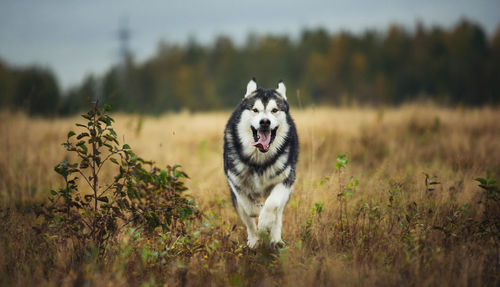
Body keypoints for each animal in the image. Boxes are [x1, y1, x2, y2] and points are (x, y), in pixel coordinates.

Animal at [225, 79, 298, 250]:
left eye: (274, 110)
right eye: (255, 110)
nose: (265, 122)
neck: (260, 159)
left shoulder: (287, 179)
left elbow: (272, 204)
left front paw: (265, 221)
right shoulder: (235, 181)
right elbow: (249, 208)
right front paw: (258, 211)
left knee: (278, 213)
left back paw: (275, 239)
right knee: (248, 220)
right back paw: (253, 240)